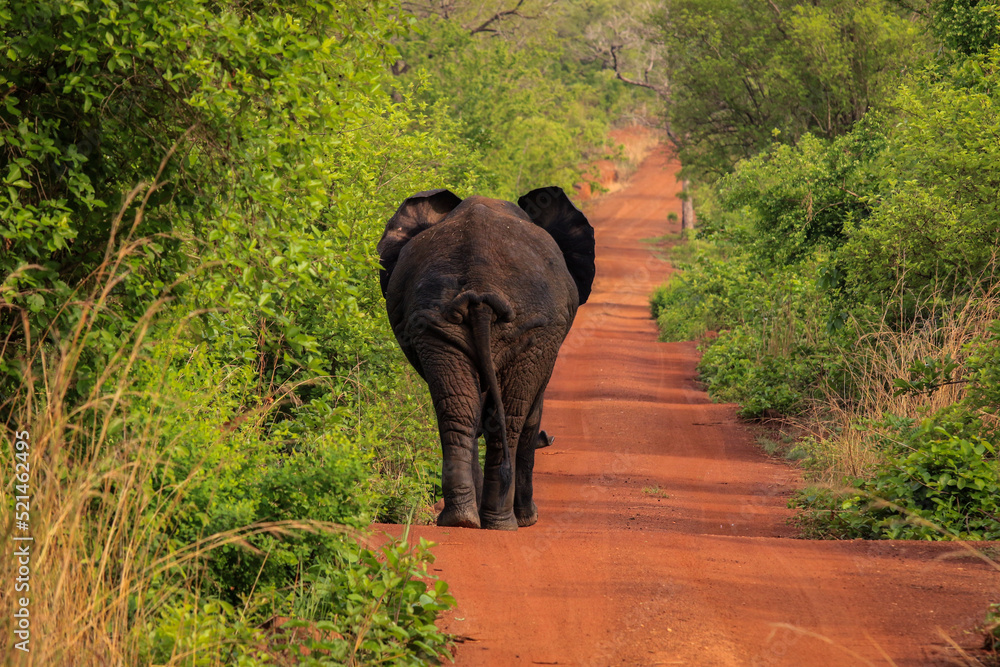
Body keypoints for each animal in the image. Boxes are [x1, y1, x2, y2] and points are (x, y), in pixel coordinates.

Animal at [377, 187, 595, 530]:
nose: (551, 438)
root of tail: (479, 283)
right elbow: (532, 414)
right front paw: (529, 519)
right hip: (533, 330)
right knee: (513, 416)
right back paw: (502, 522)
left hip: (434, 323)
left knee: (460, 411)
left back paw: (461, 520)